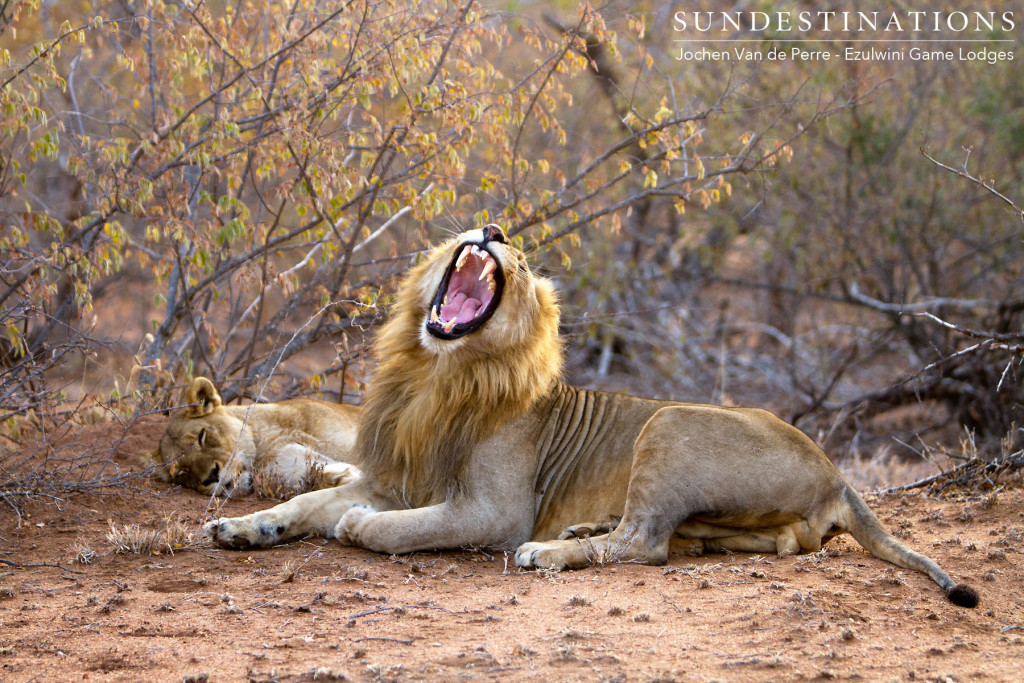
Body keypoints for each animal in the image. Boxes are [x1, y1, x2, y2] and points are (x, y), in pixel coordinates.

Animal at [203, 225, 978, 610]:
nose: (494, 223)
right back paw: (581, 531)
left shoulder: (494, 510)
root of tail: (836, 472)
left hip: (668, 425)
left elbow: (400, 527)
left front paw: (358, 528)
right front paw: (243, 528)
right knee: (707, 541)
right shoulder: (392, 477)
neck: (434, 373)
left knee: (645, 544)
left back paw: (550, 551)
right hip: (741, 513)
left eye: (517, 257)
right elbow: (304, 502)